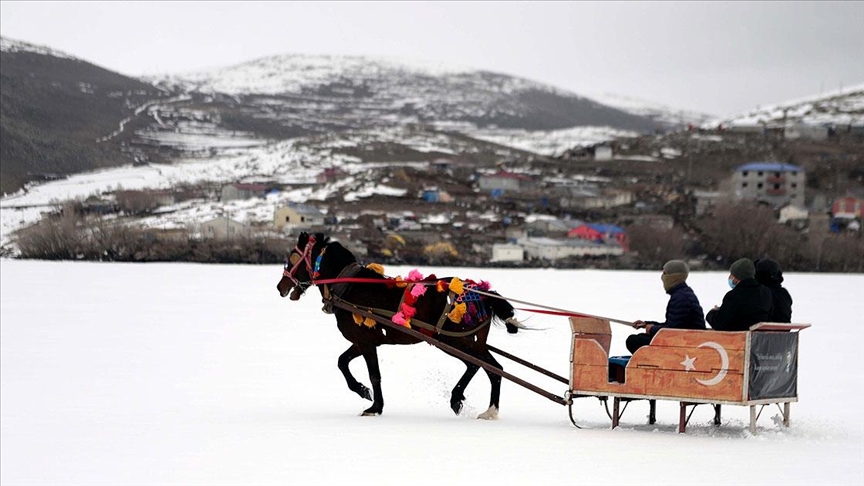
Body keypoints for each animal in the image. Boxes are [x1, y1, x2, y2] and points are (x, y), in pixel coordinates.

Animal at [278, 232, 520, 418]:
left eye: (291, 258)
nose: (280, 286)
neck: (348, 287)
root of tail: (483, 293)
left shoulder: (366, 342)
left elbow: (374, 375)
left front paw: (374, 406)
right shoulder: (361, 341)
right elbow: (342, 362)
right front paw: (362, 391)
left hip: (454, 341)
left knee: (479, 366)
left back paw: (461, 400)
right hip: (470, 341)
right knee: (493, 369)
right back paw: (487, 409)